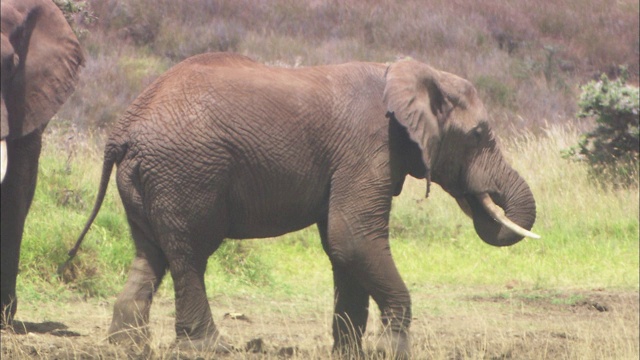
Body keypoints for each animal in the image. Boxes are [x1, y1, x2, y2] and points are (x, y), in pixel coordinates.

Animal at [71, 52, 540, 358]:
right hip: (186, 172)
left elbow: (342, 247)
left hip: (146, 177)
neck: (408, 74)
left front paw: (349, 353)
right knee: (190, 254)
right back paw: (208, 347)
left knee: (148, 253)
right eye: (479, 134)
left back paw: (127, 346)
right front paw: (391, 351)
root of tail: (124, 128)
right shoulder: (367, 149)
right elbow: (352, 237)